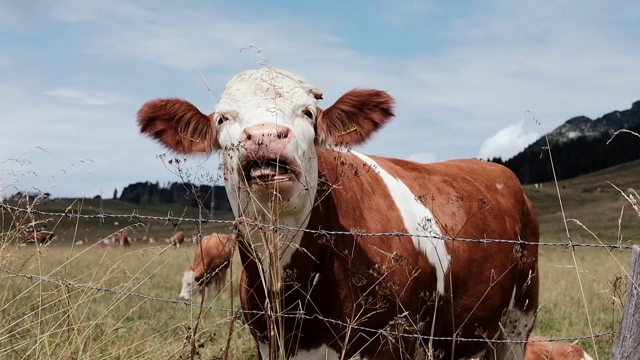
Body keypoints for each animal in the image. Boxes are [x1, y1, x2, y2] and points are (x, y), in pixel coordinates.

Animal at [138, 66, 536, 358]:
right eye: (222, 119)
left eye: (308, 112)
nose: (264, 135)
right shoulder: (267, 341)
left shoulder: (391, 340)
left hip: (517, 322)